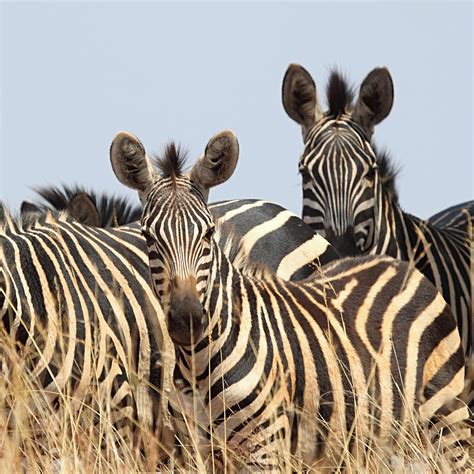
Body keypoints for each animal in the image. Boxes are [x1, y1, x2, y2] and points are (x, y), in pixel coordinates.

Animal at [110, 129, 470, 470]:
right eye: (148, 237)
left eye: (209, 233)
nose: (187, 319)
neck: (198, 363)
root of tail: (398, 265)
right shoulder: (196, 452)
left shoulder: (265, 449)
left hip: (446, 419)